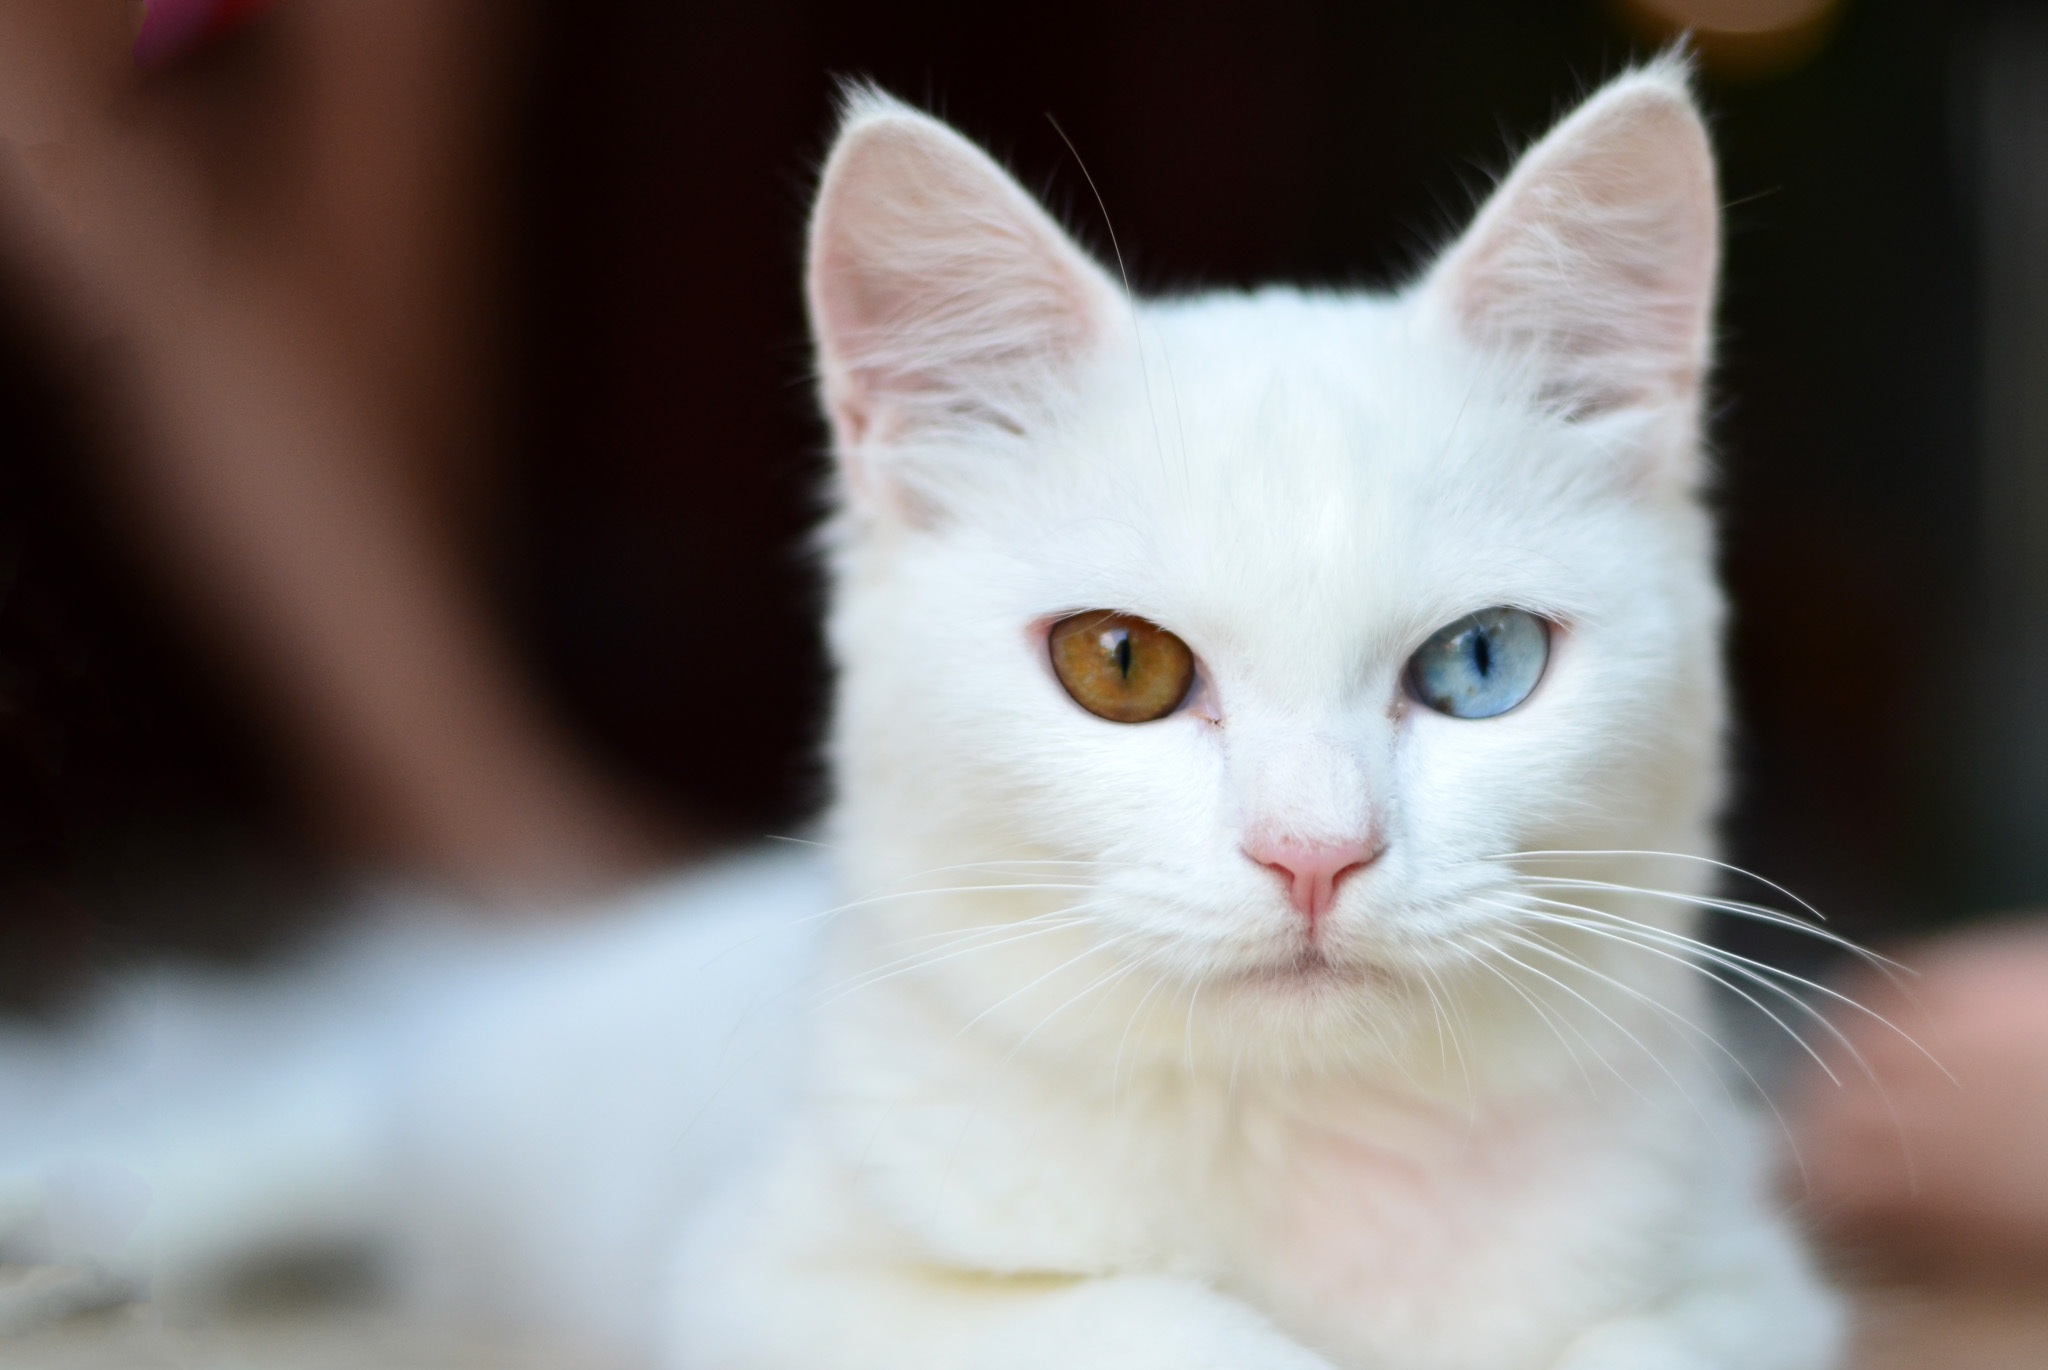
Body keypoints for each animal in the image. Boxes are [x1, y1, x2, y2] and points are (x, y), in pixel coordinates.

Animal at [0, 61, 1851, 1367]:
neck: (1302, 1153)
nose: (1312, 853)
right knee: (301, 1098)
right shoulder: (781, 1281)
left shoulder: (1746, 1284)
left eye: (1477, 667)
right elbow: (1156, 1326)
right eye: (1122, 666)